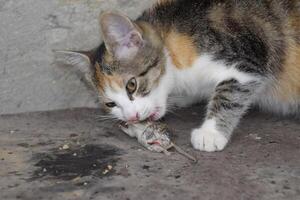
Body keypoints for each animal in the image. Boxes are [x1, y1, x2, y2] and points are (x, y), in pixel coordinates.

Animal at [58, 0, 300, 152]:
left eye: (131, 85)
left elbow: (230, 92)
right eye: (110, 104)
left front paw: (211, 133)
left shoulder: (248, 56)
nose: (132, 118)